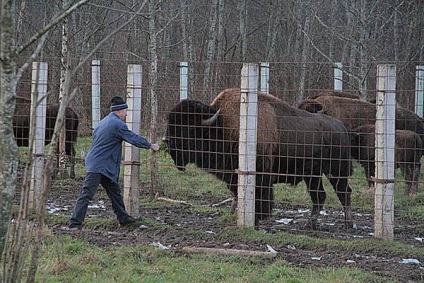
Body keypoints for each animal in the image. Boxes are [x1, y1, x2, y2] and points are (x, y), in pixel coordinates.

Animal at [166, 89, 354, 231]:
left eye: (188, 128)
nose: (166, 141)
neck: (221, 126)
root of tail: (341, 127)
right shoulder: (234, 177)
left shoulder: (260, 175)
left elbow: (258, 200)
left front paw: (256, 222)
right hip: (312, 176)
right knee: (319, 196)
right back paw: (311, 225)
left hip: (336, 171)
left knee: (343, 192)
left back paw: (348, 225)